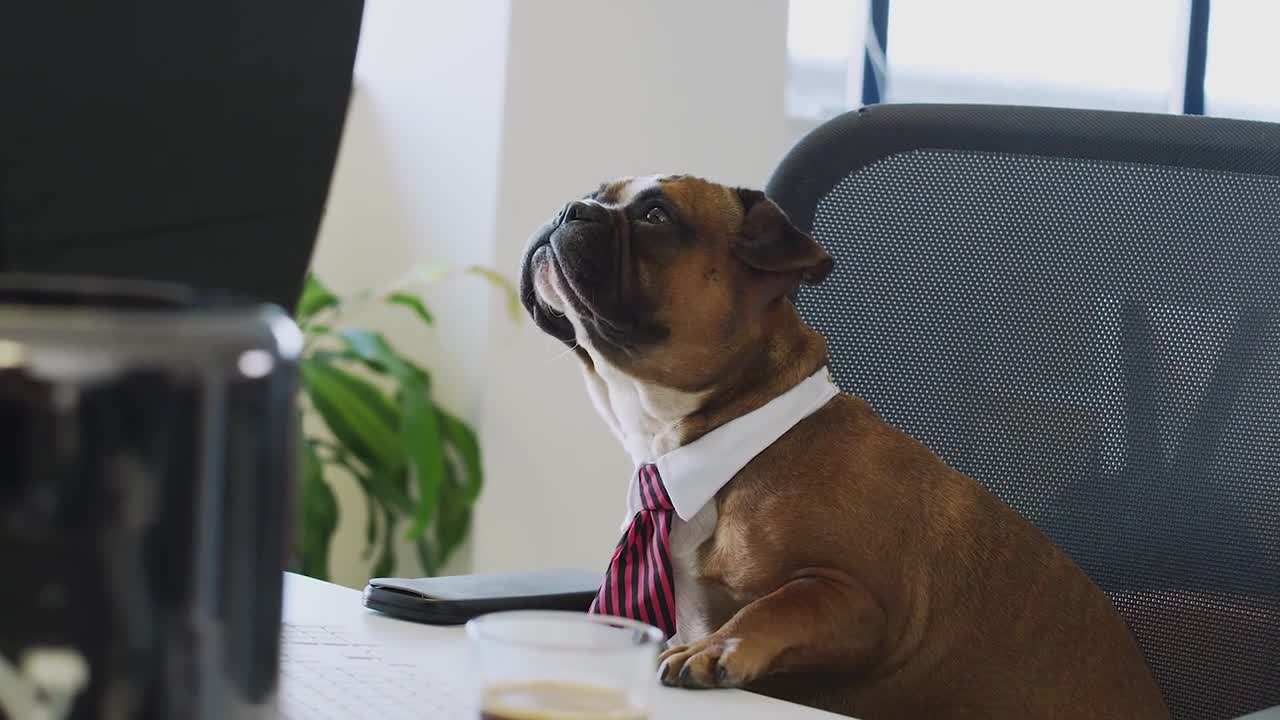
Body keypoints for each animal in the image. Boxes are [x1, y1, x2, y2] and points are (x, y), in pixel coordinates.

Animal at [519, 174, 1172, 717]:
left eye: (656, 215)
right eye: (597, 194)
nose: (568, 208)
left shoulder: (856, 599)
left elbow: (778, 603)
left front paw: (717, 647)